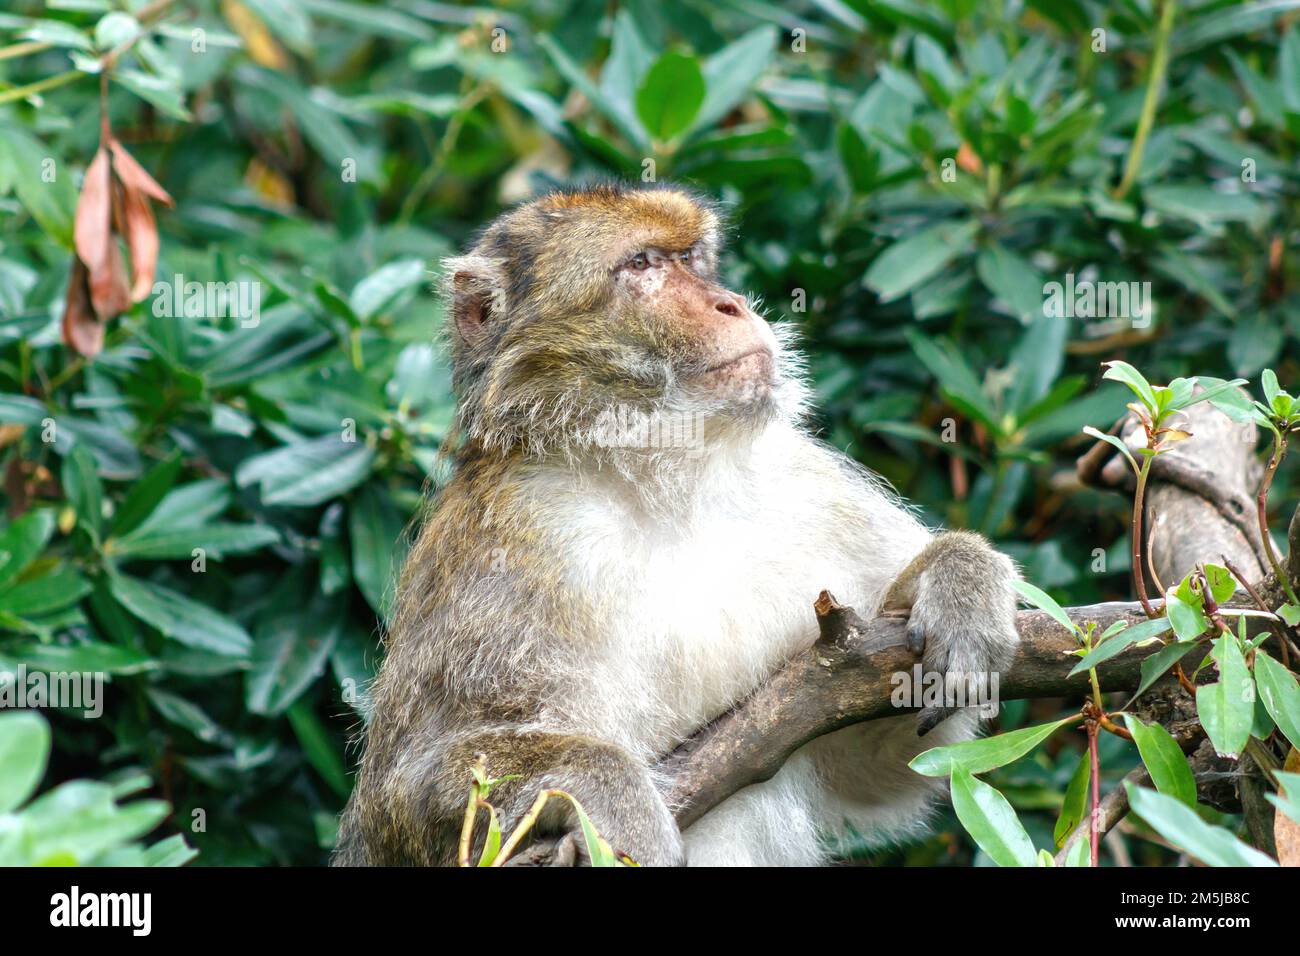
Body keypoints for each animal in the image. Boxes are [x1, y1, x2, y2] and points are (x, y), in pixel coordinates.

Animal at [330, 184, 1019, 868]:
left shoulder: (806, 487)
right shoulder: (505, 539)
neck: (663, 482)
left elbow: (883, 761)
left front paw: (958, 576)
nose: (731, 303)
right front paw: (620, 800)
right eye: (642, 264)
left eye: (692, 258)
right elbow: (398, 799)